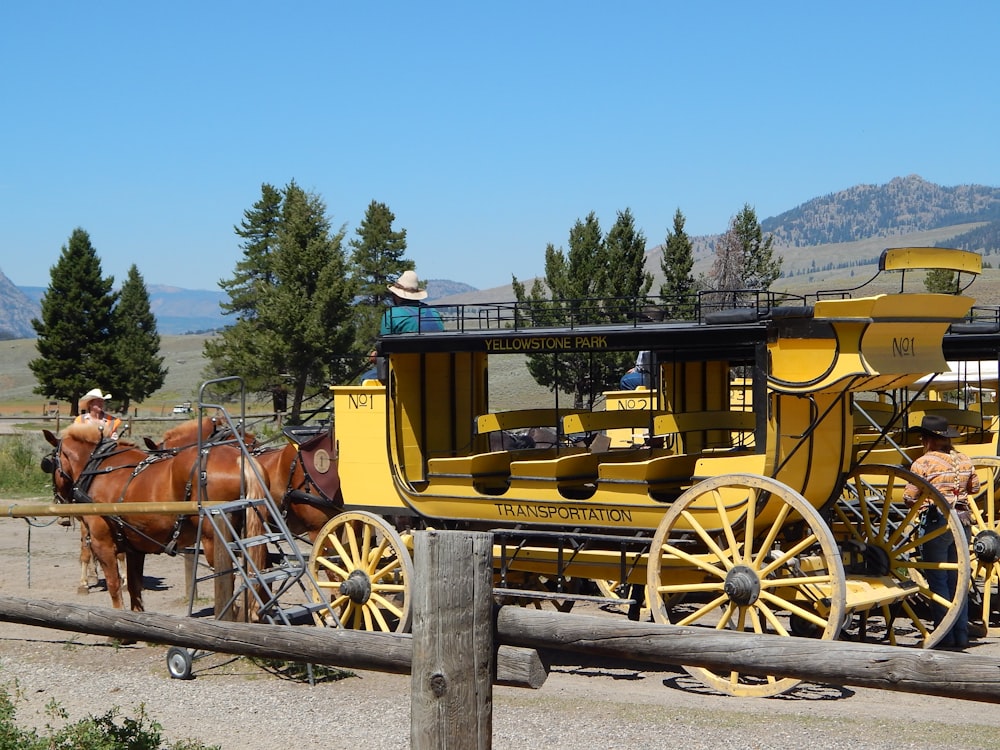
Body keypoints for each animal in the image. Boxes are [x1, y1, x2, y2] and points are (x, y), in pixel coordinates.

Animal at [42, 426, 266, 612]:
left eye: (49, 464)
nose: (60, 503)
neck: (99, 468)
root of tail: (241, 460)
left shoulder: (102, 542)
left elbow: (114, 584)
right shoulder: (134, 547)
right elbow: (134, 588)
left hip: (215, 541)